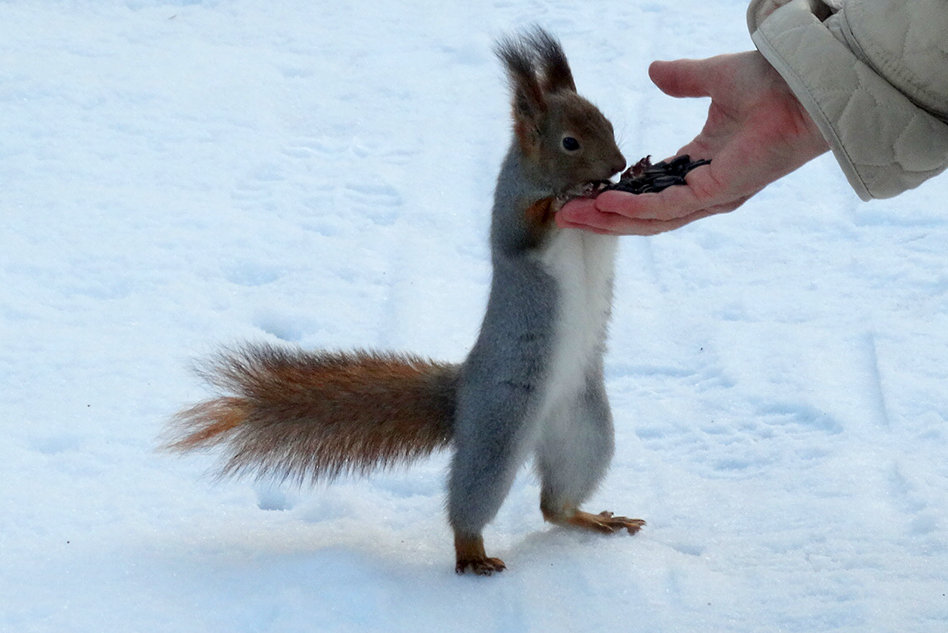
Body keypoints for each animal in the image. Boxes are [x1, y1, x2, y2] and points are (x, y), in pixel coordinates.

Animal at [168, 27, 644, 576]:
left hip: (586, 432)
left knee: (555, 505)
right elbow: (526, 230)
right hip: (498, 430)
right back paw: (472, 553)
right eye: (569, 142)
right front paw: (565, 200)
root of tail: (464, 391)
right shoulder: (511, 215)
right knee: (475, 499)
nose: (617, 165)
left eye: (607, 122)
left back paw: (591, 518)